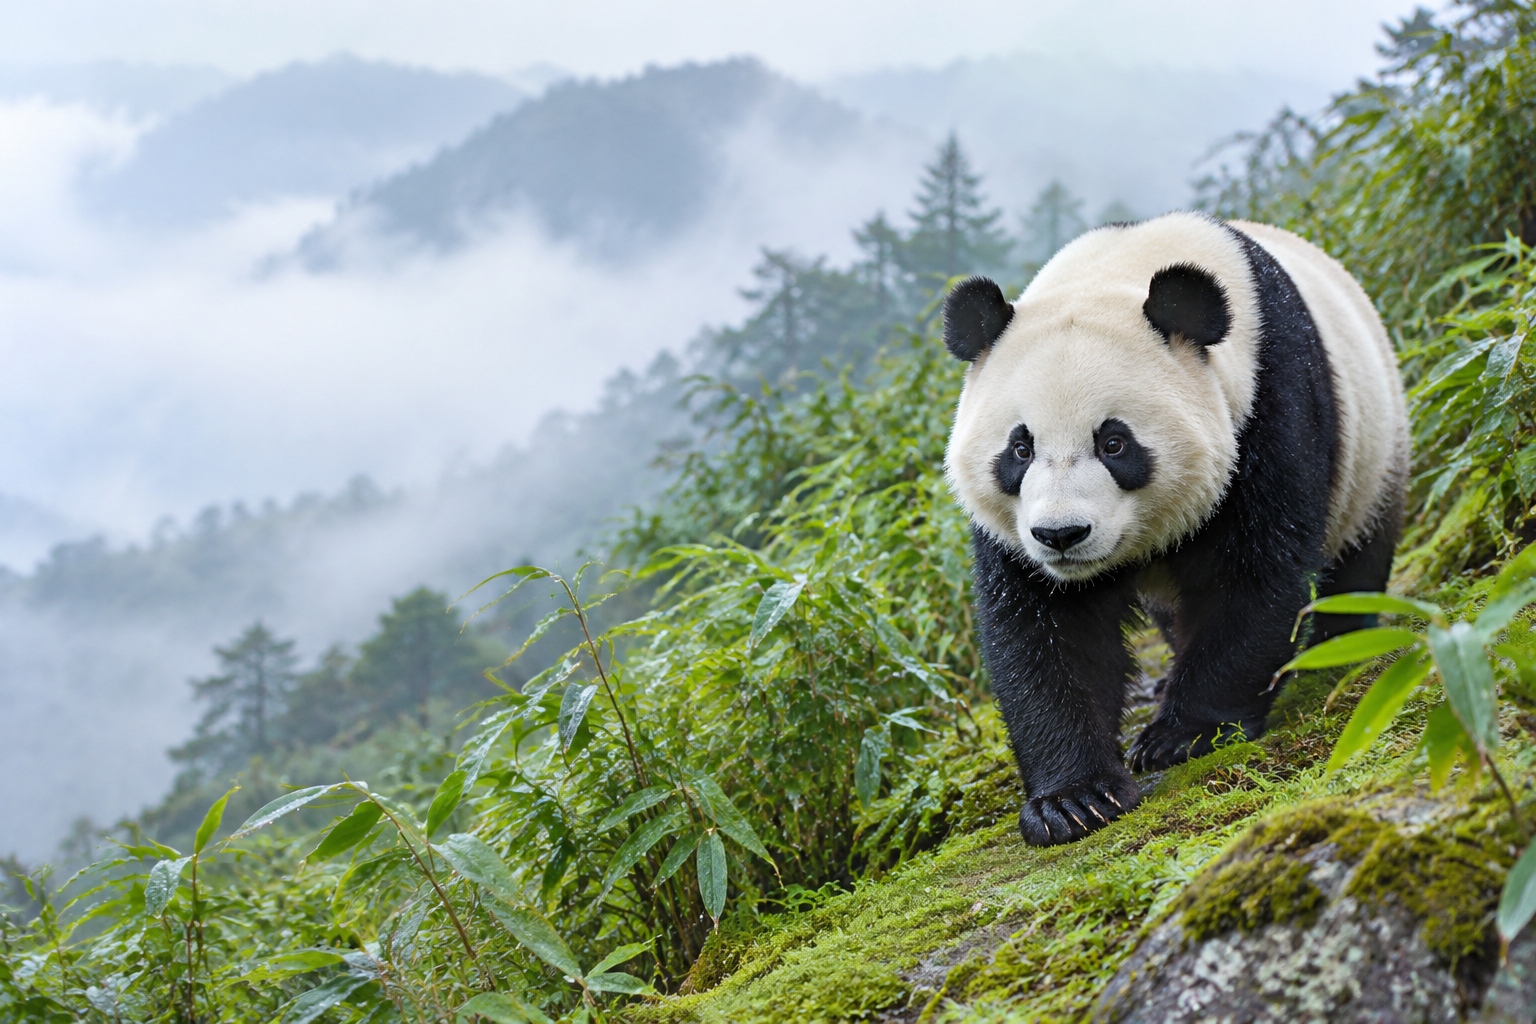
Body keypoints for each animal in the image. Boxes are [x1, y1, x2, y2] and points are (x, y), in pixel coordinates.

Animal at [942, 211, 1408, 846]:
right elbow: (1047, 628)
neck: (1121, 264)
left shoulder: (1268, 405)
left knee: (1358, 559)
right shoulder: (1016, 534)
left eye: (1114, 443)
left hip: (1374, 449)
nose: (1062, 535)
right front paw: (1073, 800)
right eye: (1020, 449)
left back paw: (1337, 643)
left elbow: (1253, 576)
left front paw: (1182, 736)